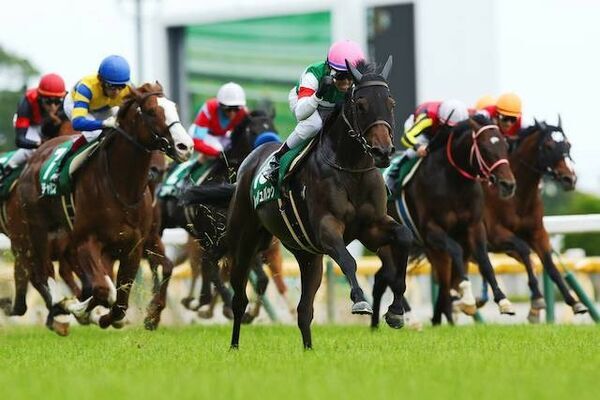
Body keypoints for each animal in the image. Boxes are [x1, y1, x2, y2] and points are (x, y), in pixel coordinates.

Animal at [16, 83, 193, 334]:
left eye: (174, 107)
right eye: (150, 111)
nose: (185, 146)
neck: (122, 187)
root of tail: (37, 155)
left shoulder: (134, 245)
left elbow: (122, 296)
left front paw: (119, 317)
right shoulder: (85, 241)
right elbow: (102, 289)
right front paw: (81, 310)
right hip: (38, 231)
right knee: (43, 272)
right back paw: (62, 309)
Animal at [225, 57, 412, 348]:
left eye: (390, 103)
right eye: (361, 104)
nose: (382, 151)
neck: (351, 169)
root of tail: (250, 159)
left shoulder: (371, 226)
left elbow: (403, 237)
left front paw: (396, 311)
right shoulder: (327, 228)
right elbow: (348, 261)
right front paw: (360, 301)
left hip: (306, 254)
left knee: (304, 310)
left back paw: (309, 350)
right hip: (244, 240)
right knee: (239, 298)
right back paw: (234, 346)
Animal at [372, 114, 516, 326]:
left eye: (505, 146)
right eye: (484, 148)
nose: (508, 184)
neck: (453, 181)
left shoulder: (473, 227)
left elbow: (484, 260)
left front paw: (503, 300)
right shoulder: (432, 231)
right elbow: (455, 253)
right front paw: (467, 298)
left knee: (382, 278)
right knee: (391, 273)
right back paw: (410, 318)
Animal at [482, 117, 584, 320]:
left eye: (567, 144)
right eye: (549, 146)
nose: (570, 179)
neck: (518, 195)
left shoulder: (538, 232)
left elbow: (550, 265)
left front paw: (574, 301)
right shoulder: (495, 234)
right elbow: (524, 250)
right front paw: (537, 297)